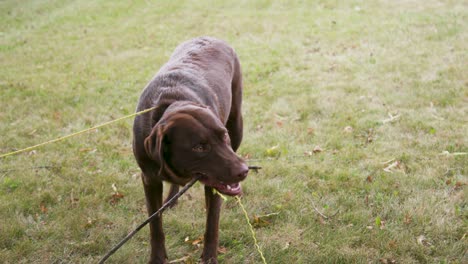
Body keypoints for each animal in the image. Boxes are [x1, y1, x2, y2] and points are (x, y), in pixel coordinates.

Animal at [132, 37, 249, 264]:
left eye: (223, 136)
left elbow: (212, 224)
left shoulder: (216, 181)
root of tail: (212, 37)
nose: (244, 170)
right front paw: (157, 258)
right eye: (199, 147)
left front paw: (209, 258)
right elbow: (155, 225)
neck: (171, 101)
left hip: (237, 123)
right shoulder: (149, 178)